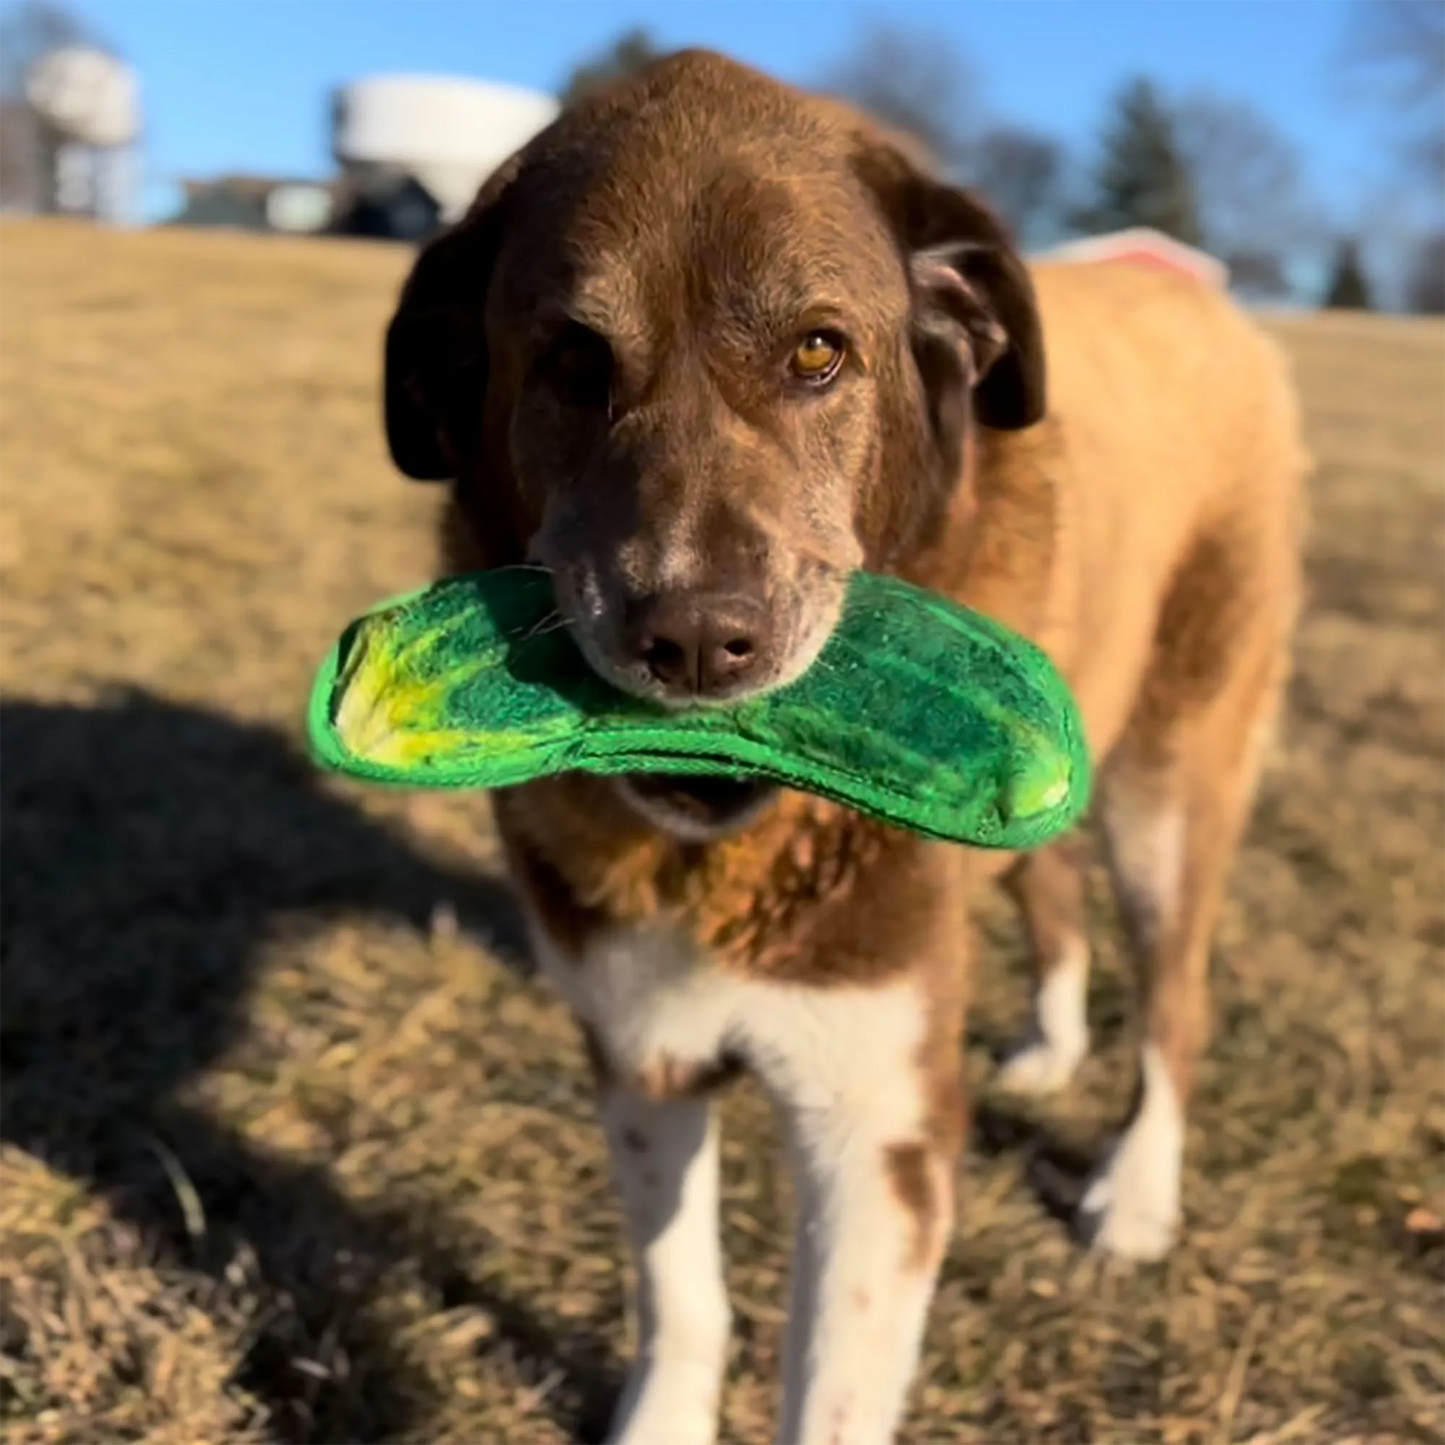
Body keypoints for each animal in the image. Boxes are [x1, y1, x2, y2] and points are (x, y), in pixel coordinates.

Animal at [381, 48, 1312, 1445]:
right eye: (570, 362)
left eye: (819, 350)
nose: (698, 640)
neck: (721, 861)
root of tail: (1207, 305)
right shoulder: (640, 1052)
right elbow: (679, 1300)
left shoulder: (876, 1130)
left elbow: (824, 1384)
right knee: (1047, 889)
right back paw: (1048, 1049)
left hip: (1171, 778)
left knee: (1175, 1000)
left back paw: (1136, 1194)